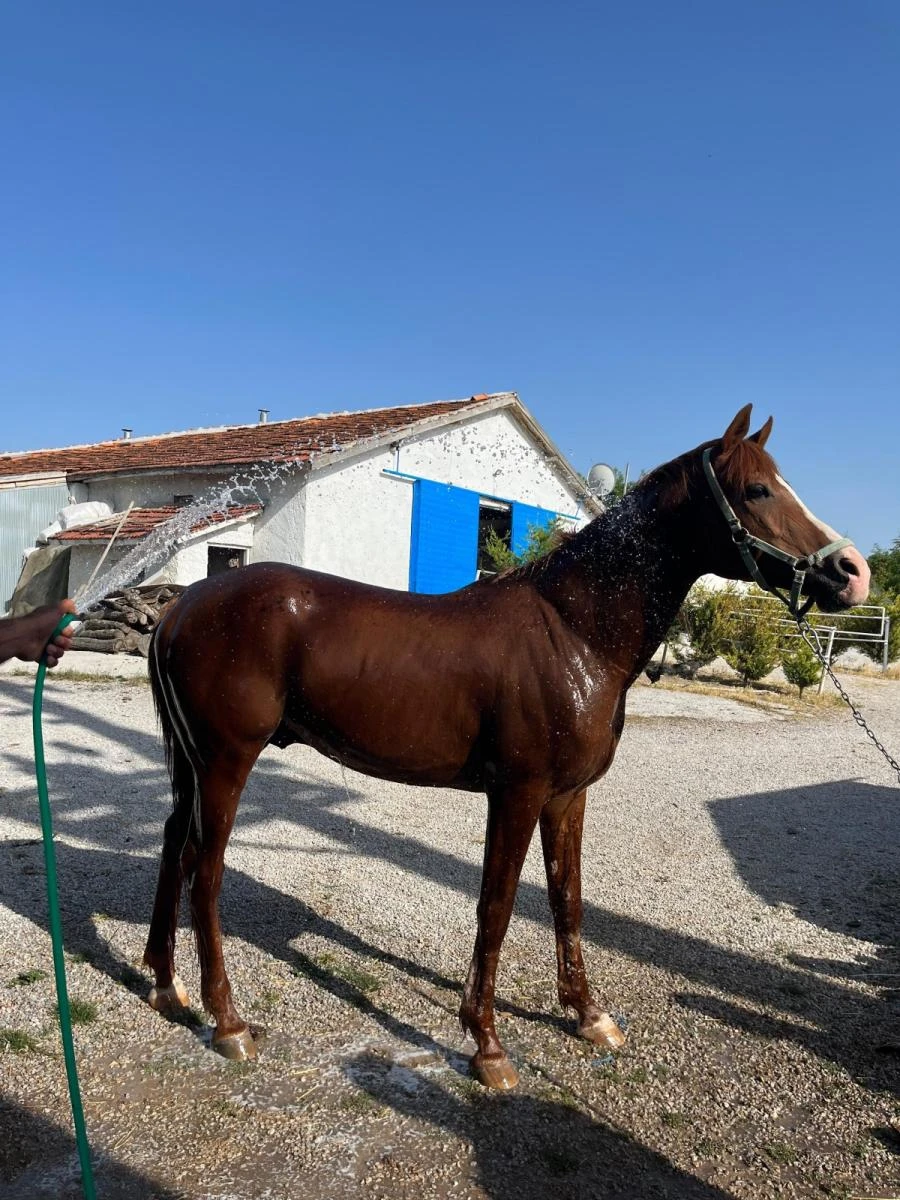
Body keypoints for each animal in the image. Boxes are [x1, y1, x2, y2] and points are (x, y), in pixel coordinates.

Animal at [144, 408, 868, 1094]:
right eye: (757, 489)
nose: (852, 572)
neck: (575, 633)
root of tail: (181, 606)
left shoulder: (568, 796)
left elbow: (567, 900)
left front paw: (588, 1016)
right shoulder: (517, 794)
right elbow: (495, 906)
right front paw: (487, 1045)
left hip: (192, 764)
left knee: (173, 847)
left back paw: (165, 986)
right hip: (226, 762)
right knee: (205, 870)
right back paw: (228, 1022)